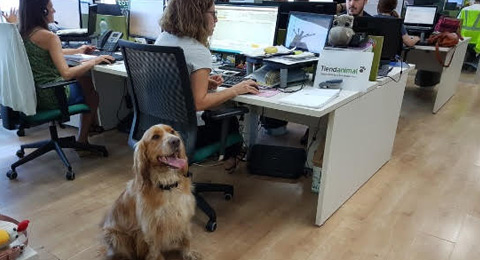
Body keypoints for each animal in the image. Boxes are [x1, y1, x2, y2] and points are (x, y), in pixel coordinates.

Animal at [102, 124, 202, 260]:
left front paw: (189, 253)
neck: (167, 185)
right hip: (117, 238)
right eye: (155, 137)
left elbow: (186, 238)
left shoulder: (183, 214)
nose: (176, 141)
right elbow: (154, 248)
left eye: (172, 132)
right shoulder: (151, 226)